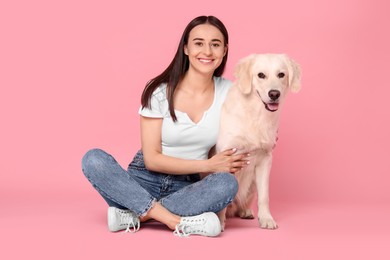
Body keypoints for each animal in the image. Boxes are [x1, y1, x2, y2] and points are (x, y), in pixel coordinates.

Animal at [216, 52, 302, 230]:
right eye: (261, 75)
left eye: (281, 74)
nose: (274, 94)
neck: (256, 114)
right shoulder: (226, 157)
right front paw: (219, 222)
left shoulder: (265, 159)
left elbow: (264, 196)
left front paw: (266, 219)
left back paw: (245, 211)